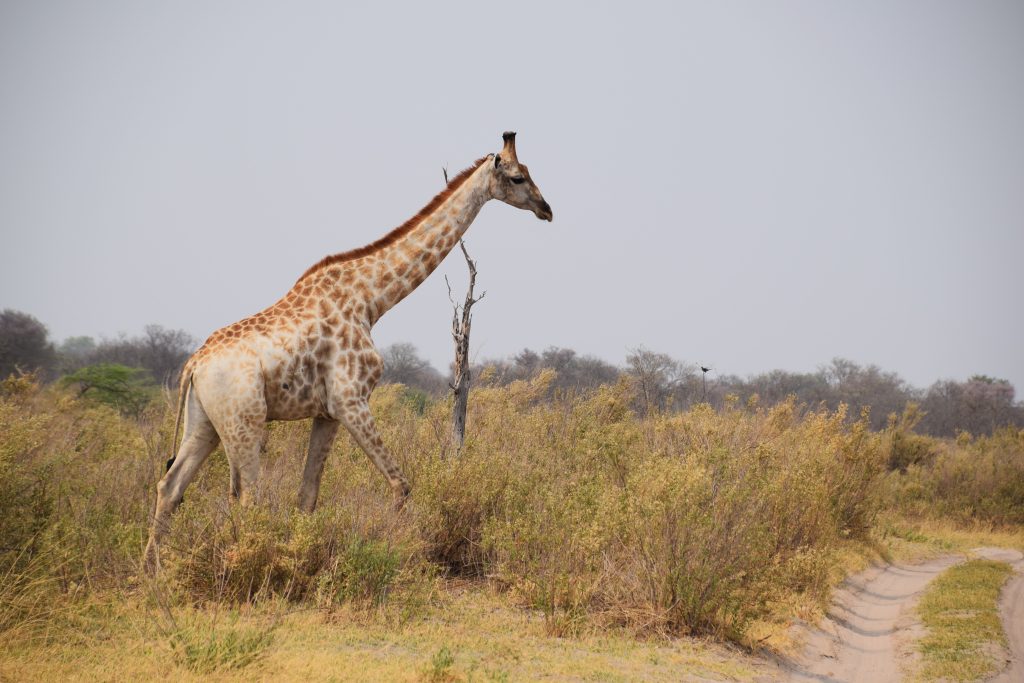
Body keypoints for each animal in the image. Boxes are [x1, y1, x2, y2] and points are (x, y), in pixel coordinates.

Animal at [143, 132, 552, 572]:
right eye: (517, 177)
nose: (547, 209)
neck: (372, 300)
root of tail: (194, 364)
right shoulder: (351, 399)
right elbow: (400, 484)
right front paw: (394, 549)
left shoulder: (326, 412)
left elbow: (307, 496)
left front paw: (303, 556)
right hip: (244, 421)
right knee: (247, 495)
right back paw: (244, 563)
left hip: (203, 421)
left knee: (171, 484)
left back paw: (153, 571)